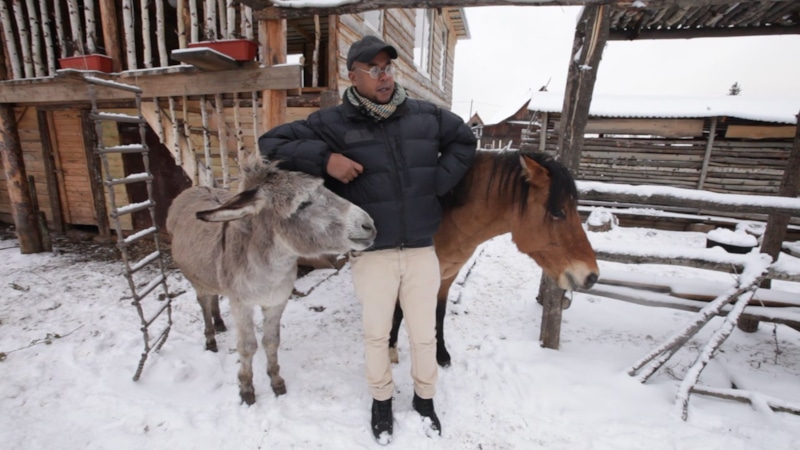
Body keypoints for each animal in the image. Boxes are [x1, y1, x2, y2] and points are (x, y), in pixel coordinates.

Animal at [390, 149, 596, 368]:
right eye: (558, 212)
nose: (592, 276)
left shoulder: (447, 276)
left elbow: (439, 312)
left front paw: (442, 354)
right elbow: (399, 311)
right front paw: (391, 350)